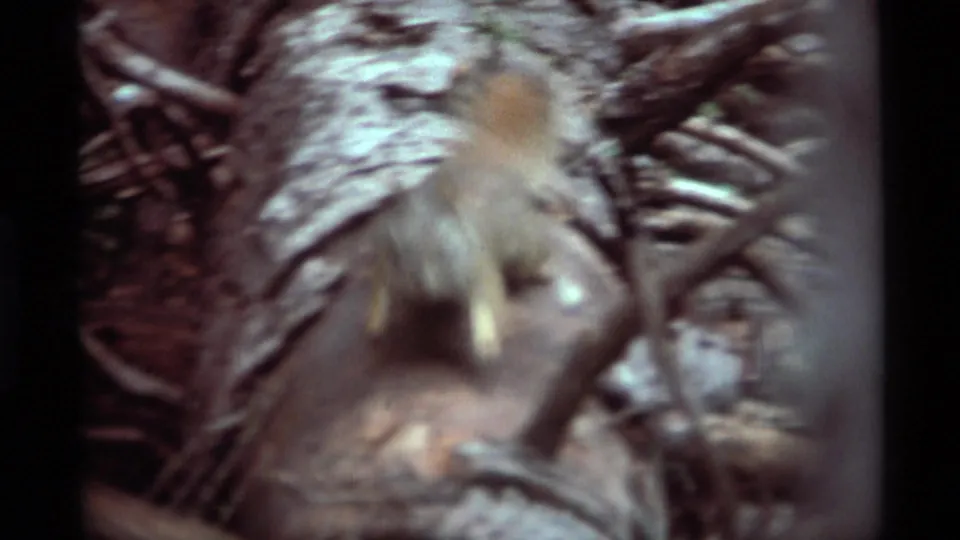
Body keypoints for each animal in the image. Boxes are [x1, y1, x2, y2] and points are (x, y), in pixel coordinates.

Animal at [366, 67, 573, 365]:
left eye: (444, 251)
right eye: (397, 255)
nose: (420, 284)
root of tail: (495, 161)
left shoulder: (477, 261)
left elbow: (489, 297)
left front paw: (486, 340)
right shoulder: (382, 253)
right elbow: (380, 284)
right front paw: (376, 319)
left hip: (525, 238)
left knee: (532, 257)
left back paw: (540, 271)